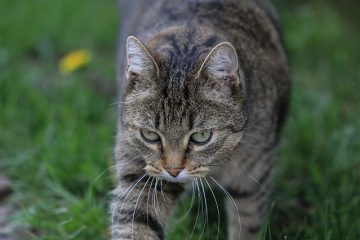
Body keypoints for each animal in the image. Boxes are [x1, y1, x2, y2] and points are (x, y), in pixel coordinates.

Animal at [112, 0, 290, 239]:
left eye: (201, 136)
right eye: (149, 135)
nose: (173, 171)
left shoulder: (253, 178)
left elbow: (247, 225)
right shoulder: (140, 174)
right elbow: (135, 220)